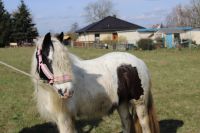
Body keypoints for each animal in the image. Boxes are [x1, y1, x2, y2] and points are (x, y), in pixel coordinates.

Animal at [30, 32, 159, 133]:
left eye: (66, 59)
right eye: (48, 60)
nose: (67, 91)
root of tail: (139, 62)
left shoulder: (64, 119)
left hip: (140, 104)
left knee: (145, 126)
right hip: (122, 103)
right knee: (126, 122)